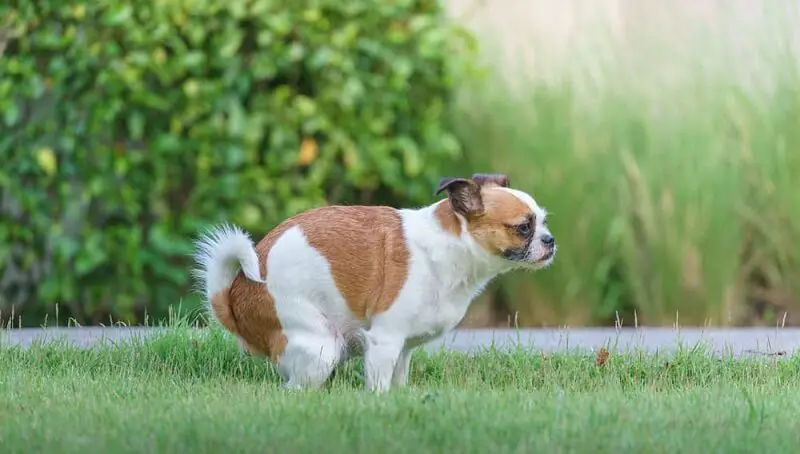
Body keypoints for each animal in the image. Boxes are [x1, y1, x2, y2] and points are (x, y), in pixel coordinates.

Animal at [193, 172, 556, 392]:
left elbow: (398, 381)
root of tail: (234, 299)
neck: (447, 245)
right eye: (523, 227)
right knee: (294, 388)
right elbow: (378, 387)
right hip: (320, 345)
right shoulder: (385, 341)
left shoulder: (403, 349)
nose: (550, 240)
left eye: (543, 221)